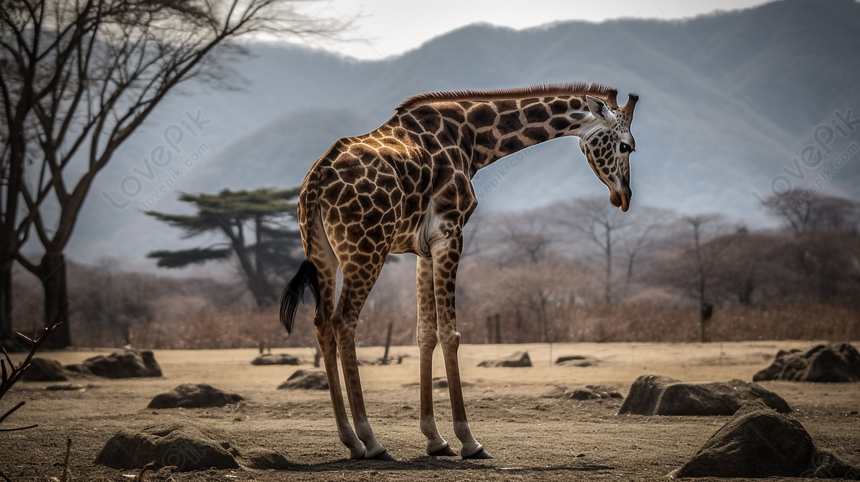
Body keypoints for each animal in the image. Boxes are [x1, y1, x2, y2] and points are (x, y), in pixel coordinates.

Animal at [282, 83, 640, 460]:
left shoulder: (424, 247)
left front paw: (435, 439)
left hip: (323, 253)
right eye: (626, 145)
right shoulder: (451, 233)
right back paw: (371, 441)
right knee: (344, 321)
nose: (624, 196)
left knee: (322, 323)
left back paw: (351, 440)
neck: (473, 139)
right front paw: (469, 440)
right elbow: (451, 334)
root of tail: (317, 178)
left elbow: (425, 332)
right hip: (367, 248)